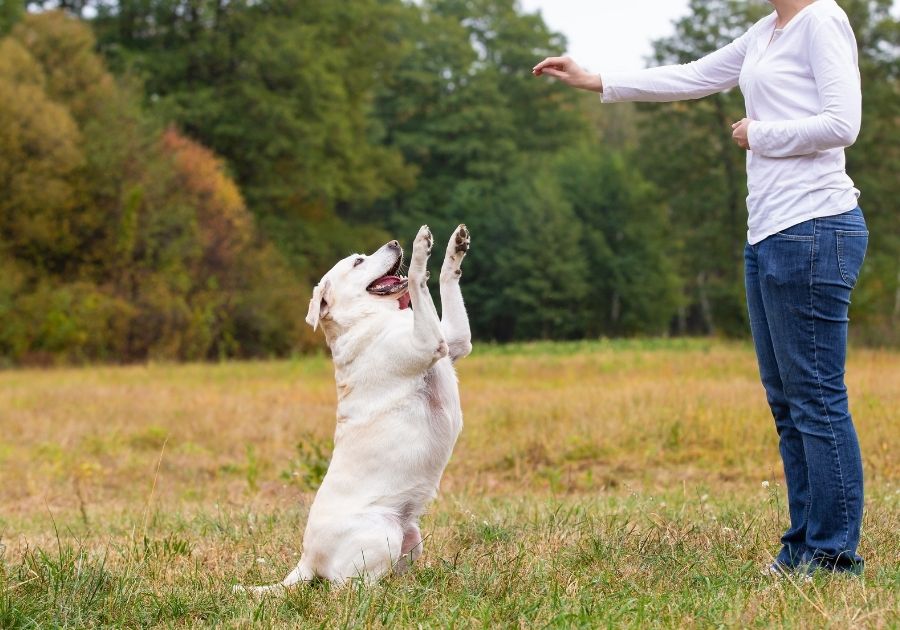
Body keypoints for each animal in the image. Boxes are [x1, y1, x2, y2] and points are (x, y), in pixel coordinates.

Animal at [239, 227, 472, 596]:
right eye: (358, 262)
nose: (395, 242)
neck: (372, 319)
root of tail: (308, 559)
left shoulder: (455, 341)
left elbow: (446, 282)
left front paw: (456, 247)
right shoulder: (428, 343)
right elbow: (417, 280)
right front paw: (421, 249)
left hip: (412, 537)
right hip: (382, 533)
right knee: (349, 590)